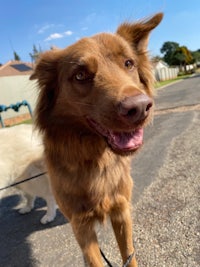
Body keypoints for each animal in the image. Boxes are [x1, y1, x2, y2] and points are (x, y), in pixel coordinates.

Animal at [30, 14, 162, 267]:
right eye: (80, 75)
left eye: (128, 63)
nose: (140, 108)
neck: (95, 159)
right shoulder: (80, 224)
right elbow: (94, 259)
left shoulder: (121, 209)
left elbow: (129, 254)